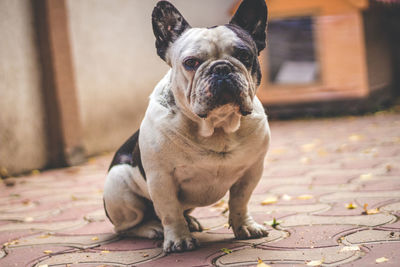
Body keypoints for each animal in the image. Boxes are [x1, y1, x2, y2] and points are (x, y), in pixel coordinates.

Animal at [104, 0, 272, 253]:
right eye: (191, 63)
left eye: (244, 55)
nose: (221, 68)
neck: (218, 127)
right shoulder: (161, 179)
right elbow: (169, 210)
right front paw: (178, 239)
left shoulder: (252, 171)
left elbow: (240, 201)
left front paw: (244, 226)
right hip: (119, 186)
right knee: (127, 226)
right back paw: (153, 228)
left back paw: (190, 221)